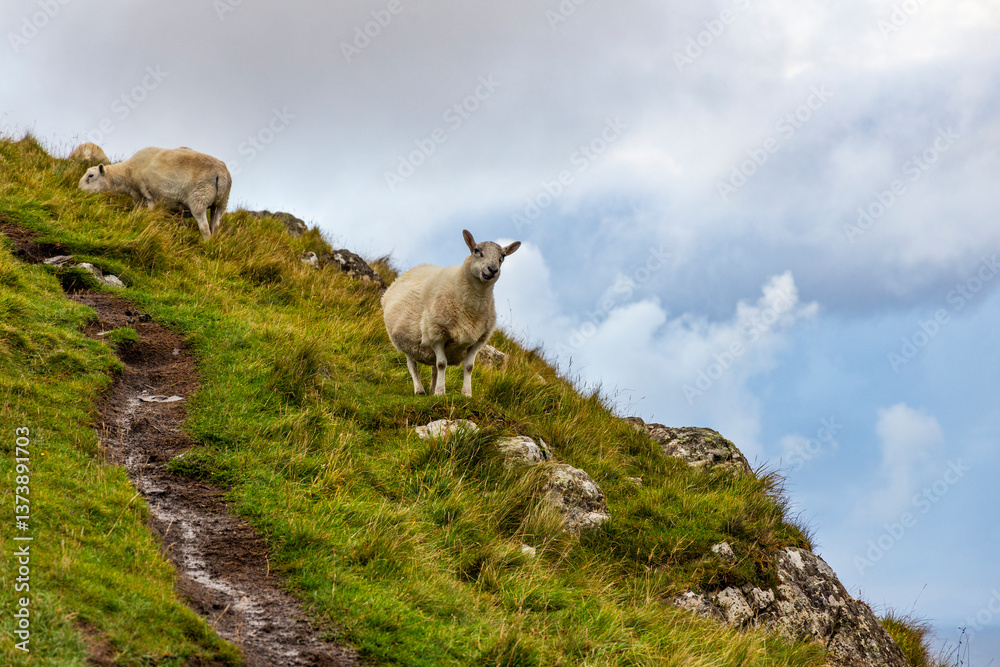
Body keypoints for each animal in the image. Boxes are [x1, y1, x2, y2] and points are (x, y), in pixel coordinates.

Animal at [78, 146, 231, 240]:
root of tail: (220, 173)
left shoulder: (147, 194)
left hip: (199, 200)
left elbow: (148, 211)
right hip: (221, 203)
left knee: (205, 228)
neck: (128, 173)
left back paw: (206, 244)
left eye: (90, 175)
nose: (78, 191)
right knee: (215, 226)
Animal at [381, 229, 520, 397]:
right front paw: (441, 392)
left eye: (503, 256)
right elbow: (442, 364)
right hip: (406, 342)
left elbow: (468, 367)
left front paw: (466, 394)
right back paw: (420, 389)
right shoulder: (436, 334)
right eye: (477, 250)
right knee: (412, 365)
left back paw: (432, 389)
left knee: (433, 367)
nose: (492, 269)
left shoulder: (478, 340)